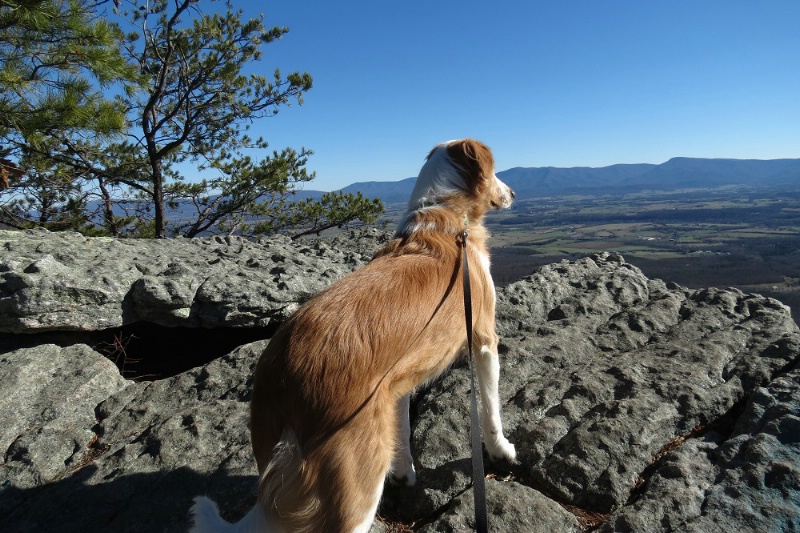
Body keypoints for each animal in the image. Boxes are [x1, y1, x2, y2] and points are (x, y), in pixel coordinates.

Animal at [195, 138, 520, 532]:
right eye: (496, 171)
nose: (513, 193)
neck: (441, 214)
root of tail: (285, 375)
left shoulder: (397, 378)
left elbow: (402, 427)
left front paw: (404, 472)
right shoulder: (483, 338)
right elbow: (490, 407)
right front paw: (502, 450)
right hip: (355, 488)